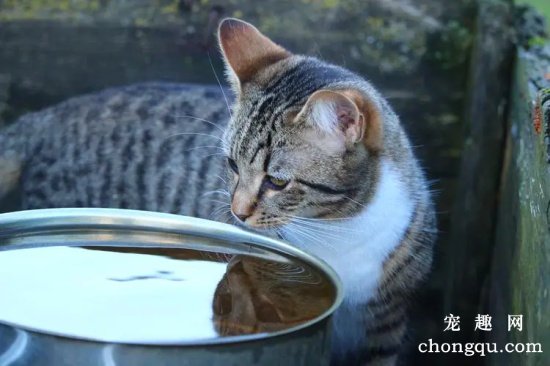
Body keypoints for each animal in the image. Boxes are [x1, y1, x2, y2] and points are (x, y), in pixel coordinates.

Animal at [1, 17, 440, 366]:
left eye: (277, 181)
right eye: (231, 165)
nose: (237, 211)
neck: (338, 228)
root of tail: (46, 117)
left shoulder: (384, 324)